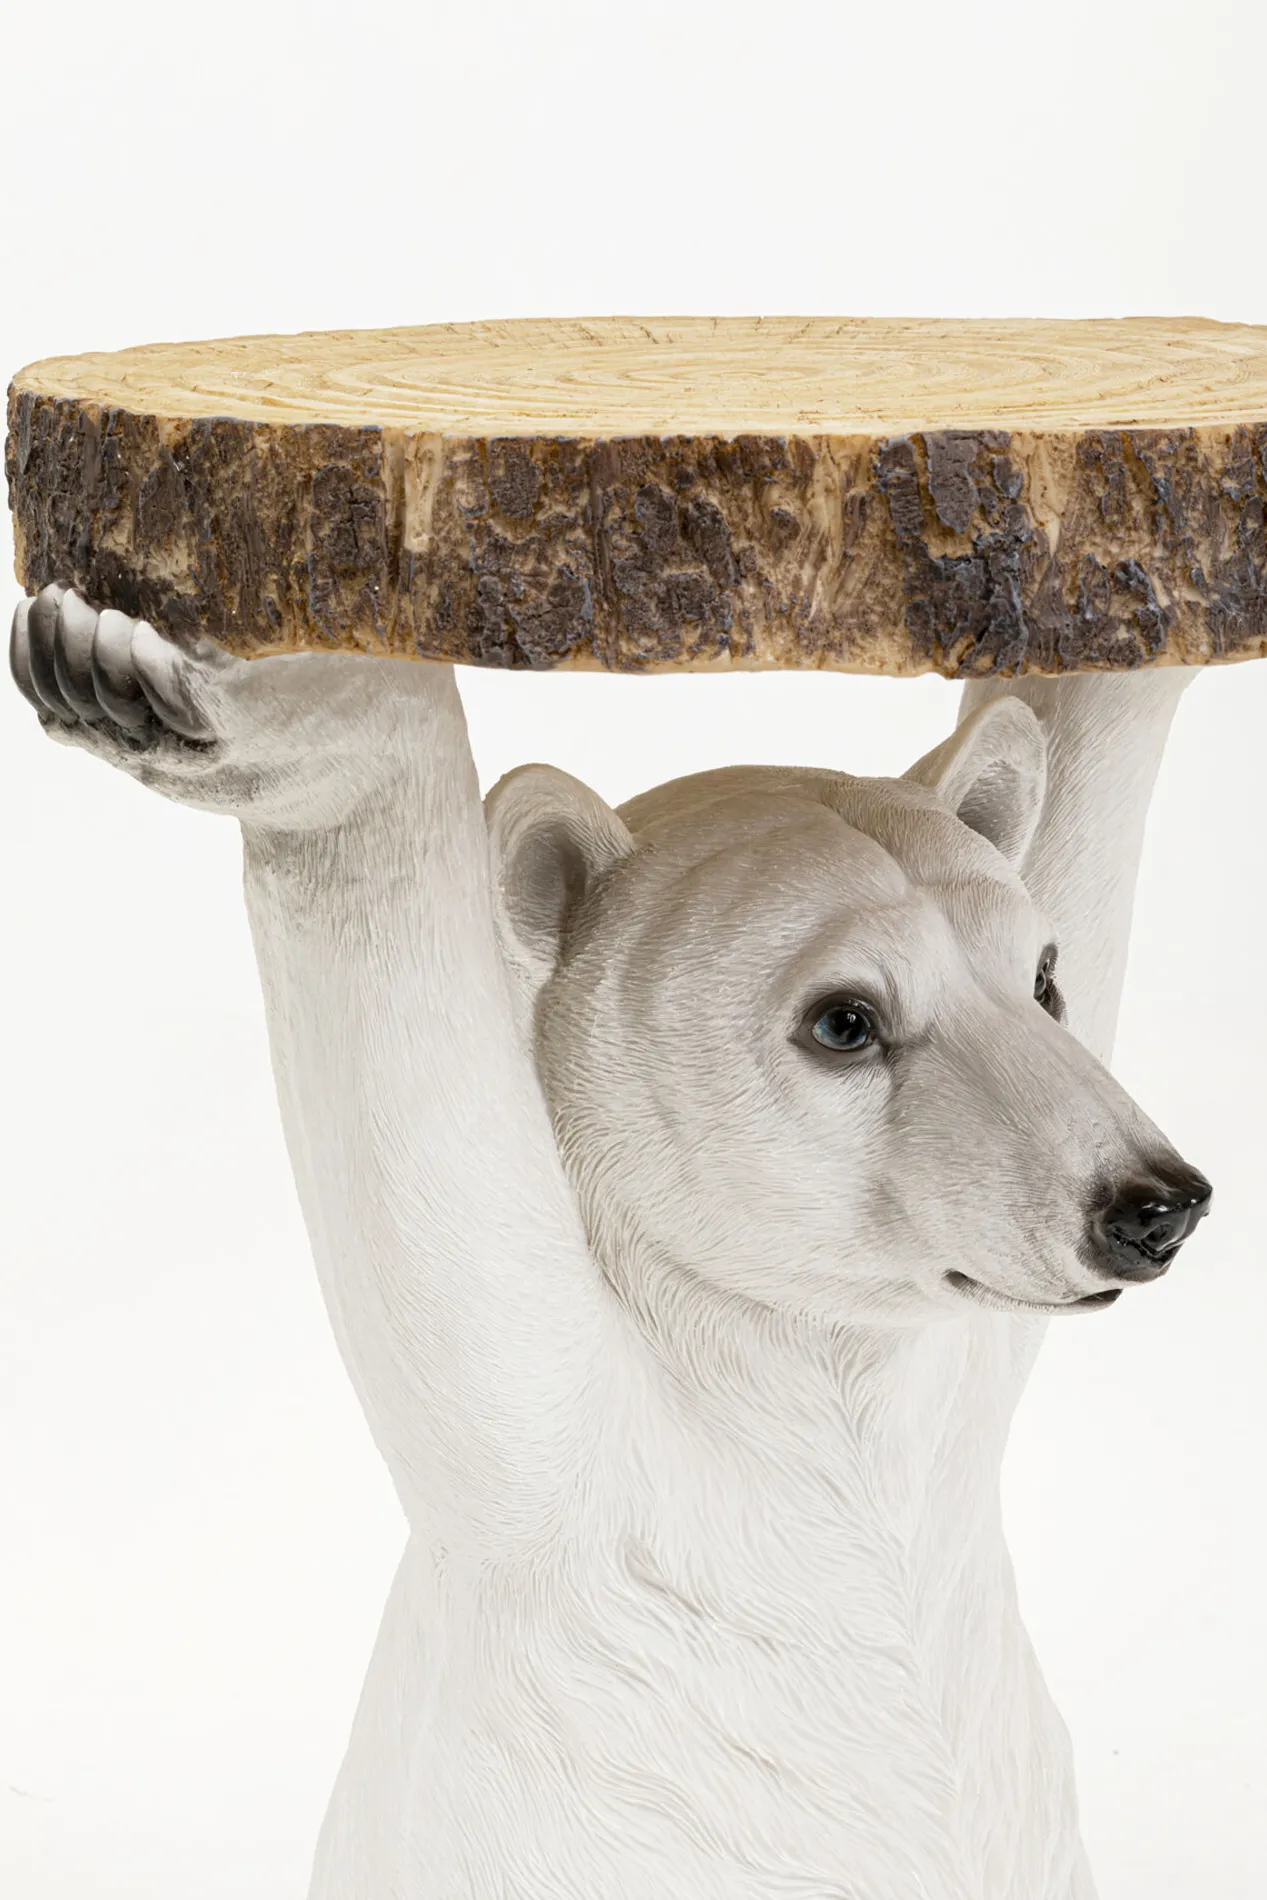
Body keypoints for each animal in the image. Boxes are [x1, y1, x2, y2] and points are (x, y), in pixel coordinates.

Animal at [10, 582, 1211, 1900]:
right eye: (845, 1020)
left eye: (1043, 978)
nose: (1152, 1202)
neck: (806, 1360)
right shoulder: (576, 1502)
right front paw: (129, 666)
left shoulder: (955, 1397)